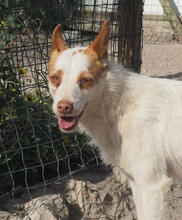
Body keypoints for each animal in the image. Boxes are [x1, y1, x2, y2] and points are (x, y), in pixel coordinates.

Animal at [47, 20, 181, 218]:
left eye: (85, 80)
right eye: (56, 78)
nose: (63, 107)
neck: (121, 104)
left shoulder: (152, 186)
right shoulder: (137, 183)